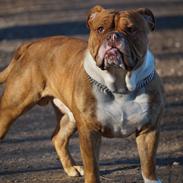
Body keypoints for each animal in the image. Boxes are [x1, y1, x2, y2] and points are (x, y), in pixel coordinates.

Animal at [0, 5, 164, 183]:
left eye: (131, 29)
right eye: (100, 29)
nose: (113, 35)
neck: (119, 84)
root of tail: (30, 45)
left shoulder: (149, 130)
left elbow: (148, 165)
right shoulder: (89, 131)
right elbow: (92, 166)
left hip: (70, 116)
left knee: (58, 138)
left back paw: (71, 168)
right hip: (12, 108)